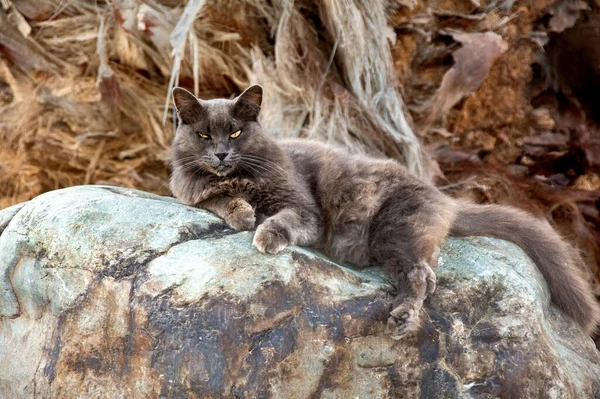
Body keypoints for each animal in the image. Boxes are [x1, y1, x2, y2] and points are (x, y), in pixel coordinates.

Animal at [169, 85, 600, 340]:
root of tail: (443, 197)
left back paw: (402, 319)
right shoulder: (189, 188)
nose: (221, 153)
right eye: (204, 135)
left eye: (236, 132)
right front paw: (241, 212)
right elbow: (213, 197)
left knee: (420, 277)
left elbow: (285, 218)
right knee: (430, 269)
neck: (241, 176)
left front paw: (265, 233)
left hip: (394, 231)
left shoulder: (306, 210)